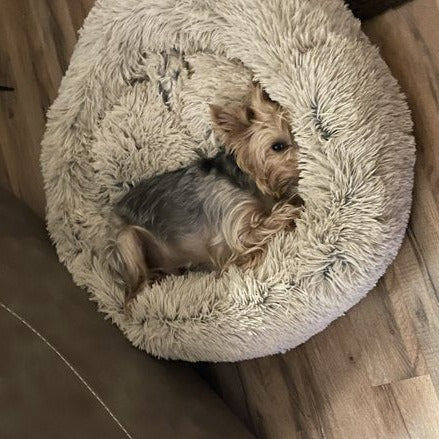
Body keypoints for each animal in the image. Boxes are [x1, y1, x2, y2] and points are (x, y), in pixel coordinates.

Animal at [112, 84, 302, 308]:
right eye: (278, 146)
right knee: (131, 292)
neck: (251, 183)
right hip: (127, 239)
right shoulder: (236, 231)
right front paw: (295, 208)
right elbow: (276, 218)